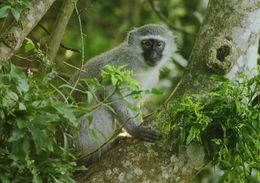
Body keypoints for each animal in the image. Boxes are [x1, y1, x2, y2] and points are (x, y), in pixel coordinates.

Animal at [71, 24, 177, 160]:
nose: (153, 55)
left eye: (159, 44)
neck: (141, 64)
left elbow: (133, 102)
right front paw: (135, 130)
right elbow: (109, 90)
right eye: (147, 44)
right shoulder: (124, 64)